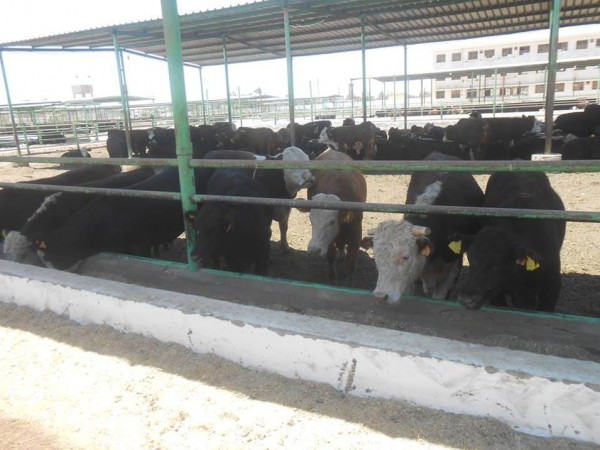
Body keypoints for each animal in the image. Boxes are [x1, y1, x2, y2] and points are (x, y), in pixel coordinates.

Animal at [304, 149, 367, 285]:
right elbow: (331, 257)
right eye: (311, 220)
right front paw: (332, 277)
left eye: (332, 222)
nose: (314, 249)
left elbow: (351, 265)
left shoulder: (356, 235)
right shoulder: (330, 241)